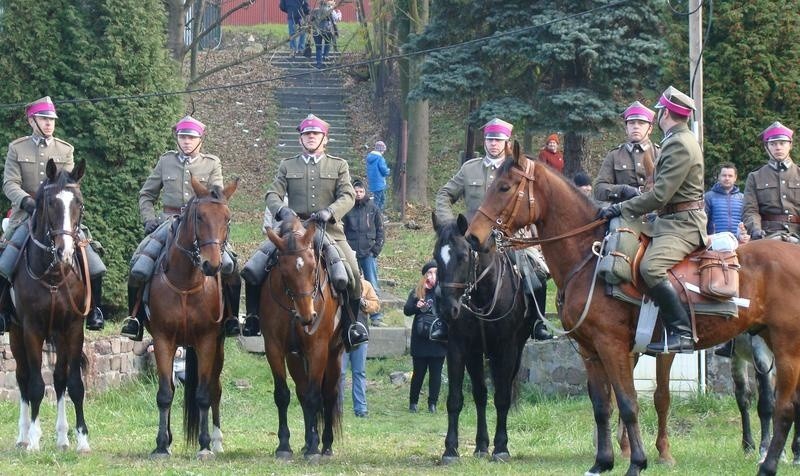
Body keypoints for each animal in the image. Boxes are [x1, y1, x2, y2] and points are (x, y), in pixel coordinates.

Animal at [9, 158, 92, 452]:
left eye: (78, 202)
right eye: (51, 203)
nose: (66, 252)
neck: (55, 274)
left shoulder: (73, 328)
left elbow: (73, 383)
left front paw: (81, 438)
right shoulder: (31, 329)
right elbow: (35, 385)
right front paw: (34, 439)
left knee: (58, 380)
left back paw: (62, 437)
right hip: (15, 332)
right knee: (23, 377)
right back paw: (23, 436)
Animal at [145, 177, 238, 460]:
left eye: (227, 218)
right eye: (199, 216)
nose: (213, 265)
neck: (185, 282)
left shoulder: (207, 341)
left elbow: (204, 395)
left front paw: (205, 445)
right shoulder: (162, 340)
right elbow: (165, 393)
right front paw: (161, 445)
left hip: (217, 347)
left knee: (215, 389)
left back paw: (216, 441)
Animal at [260, 216, 340, 462]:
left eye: (314, 267)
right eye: (284, 272)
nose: (308, 317)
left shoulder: (318, 349)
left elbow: (316, 396)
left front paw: (314, 450)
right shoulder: (275, 348)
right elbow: (283, 395)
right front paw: (284, 446)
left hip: (334, 354)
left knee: (328, 395)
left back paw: (325, 445)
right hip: (295, 358)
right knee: (302, 392)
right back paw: (307, 442)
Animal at [432, 212, 532, 462]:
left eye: (462, 256)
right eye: (436, 257)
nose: (448, 309)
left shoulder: (506, 348)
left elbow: (502, 397)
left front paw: (502, 447)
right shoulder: (459, 347)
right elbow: (456, 399)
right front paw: (450, 449)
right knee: (480, 395)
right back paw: (481, 445)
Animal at [466, 141, 800, 476]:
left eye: (504, 187)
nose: (473, 236)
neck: (589, 258)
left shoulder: (612, 345)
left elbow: (628, 403)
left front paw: (637, 462)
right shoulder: (590, 349)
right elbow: (602, 405)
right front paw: (602, 462)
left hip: (786, 348)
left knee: (785, 407)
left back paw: (768, 464)